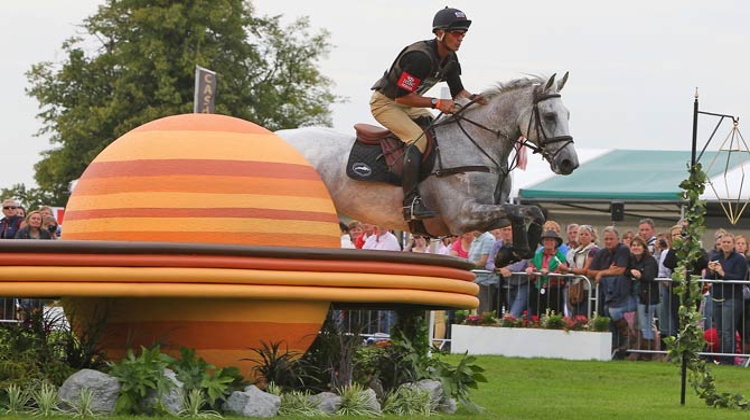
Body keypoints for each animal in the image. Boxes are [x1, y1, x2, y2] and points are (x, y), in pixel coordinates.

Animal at [280, 74, 580, 241]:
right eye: (550, 116)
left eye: (568, 114)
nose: (570, 163)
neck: (476, 142)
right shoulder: (464, 216)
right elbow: (521, 212)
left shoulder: (490, 214)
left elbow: (532, 213)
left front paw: (513, 253)